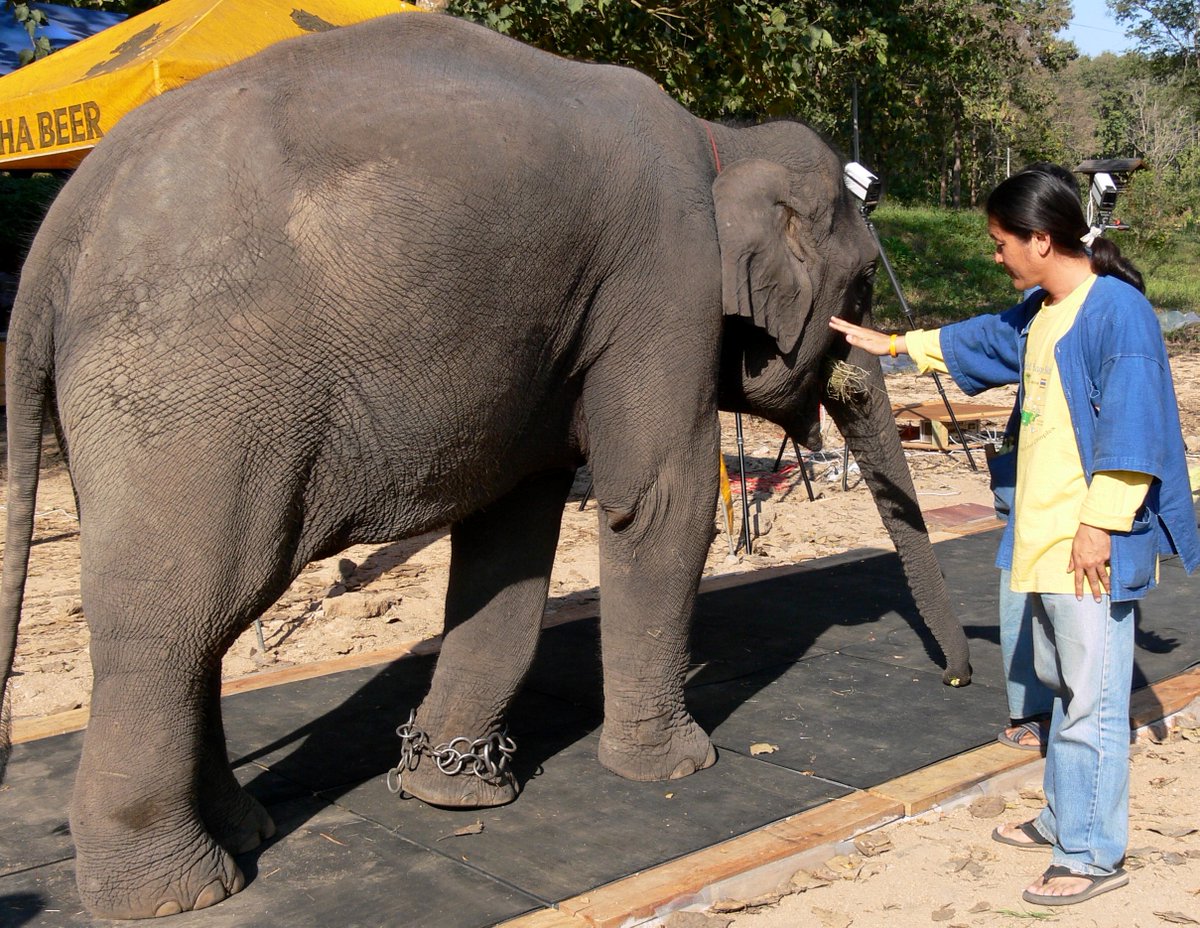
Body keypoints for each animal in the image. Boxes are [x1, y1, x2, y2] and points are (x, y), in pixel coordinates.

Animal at [0, 11, 970, 920]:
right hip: (190, 394)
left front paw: (454, 791)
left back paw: (243, 831)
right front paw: (678, 770)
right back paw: (179, 893)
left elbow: (511, 540)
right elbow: (658, 499)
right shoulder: (665, 285)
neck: (720, 136)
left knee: (195, 619)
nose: (957, 679)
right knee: (177, 613)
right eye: (864, 288)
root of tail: (63, 224)